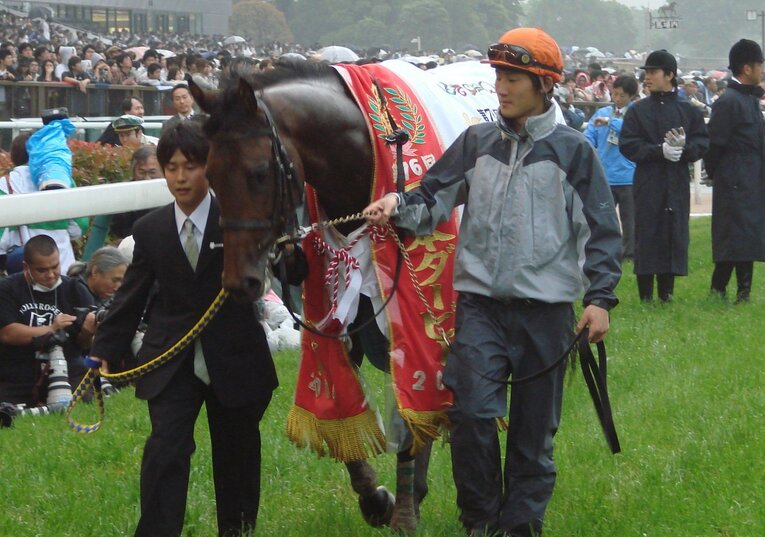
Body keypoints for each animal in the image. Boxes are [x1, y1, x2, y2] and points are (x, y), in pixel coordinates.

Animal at [188, 61, 437, 534]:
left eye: (258, 173)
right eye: (209, 175)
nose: (240, 281)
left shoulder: (413, 309)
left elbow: (413, 394)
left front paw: (404, 511)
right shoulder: (341, 303)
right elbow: (338, 388)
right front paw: (376, 497)